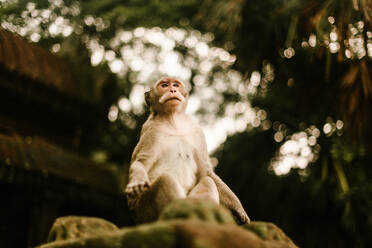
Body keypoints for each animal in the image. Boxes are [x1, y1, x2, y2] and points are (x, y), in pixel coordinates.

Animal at [125, 76, 250, 224]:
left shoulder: (197, 132)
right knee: (165, 180)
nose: (172, 90)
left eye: (175, 85)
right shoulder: (152, 131)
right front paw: (137, 179)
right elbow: (141, 161)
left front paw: (238, 208)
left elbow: (207, 172)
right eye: (164, 85)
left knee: (208, 181)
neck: (173, 121)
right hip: (143, 211)